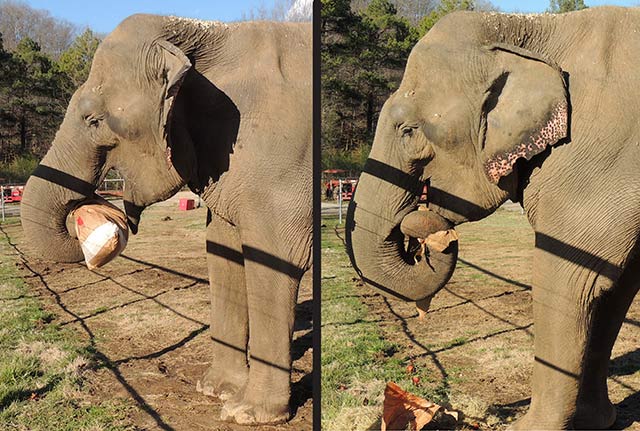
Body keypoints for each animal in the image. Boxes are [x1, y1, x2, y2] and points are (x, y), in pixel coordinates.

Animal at [23, 13, 314, 426]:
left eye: (93, 119)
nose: (99, 206)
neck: (210, 35)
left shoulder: (279, 157)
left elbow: (276, 258)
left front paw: (247, 414)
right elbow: (221, 248)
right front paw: (214, 391)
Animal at [348, 6, 640, 431]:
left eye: (408, 131)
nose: (423, 227)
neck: (530, 30)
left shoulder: (600, 157)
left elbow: (570, 280)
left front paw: (528, 430)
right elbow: (614, 285)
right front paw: (595, 422)